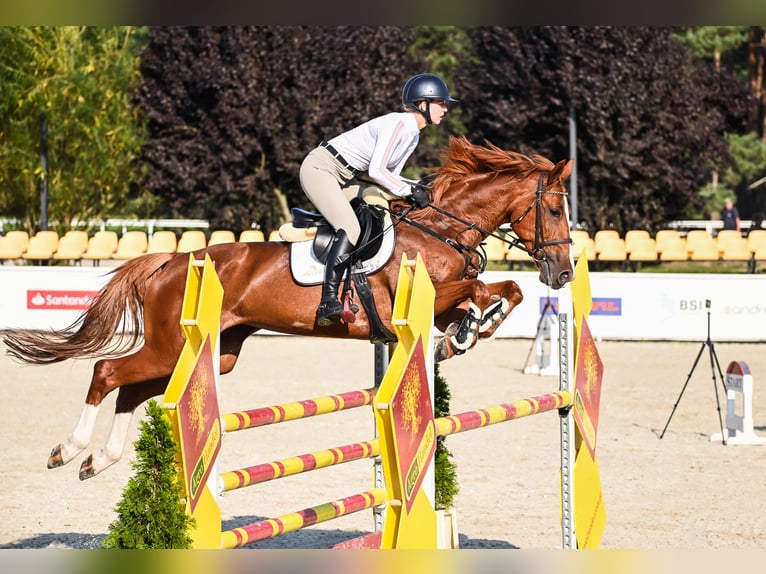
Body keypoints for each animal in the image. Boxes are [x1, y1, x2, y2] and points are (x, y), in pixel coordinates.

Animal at [1, 136, 576, 482]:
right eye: (553, 209)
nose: (564, 273)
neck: (439, 229)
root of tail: (172, 259)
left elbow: (504, 289)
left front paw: (465, 333)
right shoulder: (414, 303)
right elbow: (480, 290)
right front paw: (471, 327)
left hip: (211, 353)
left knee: (135, 389)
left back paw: (99, 459)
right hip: (171, 344)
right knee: (108, 371)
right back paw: (69, 450)